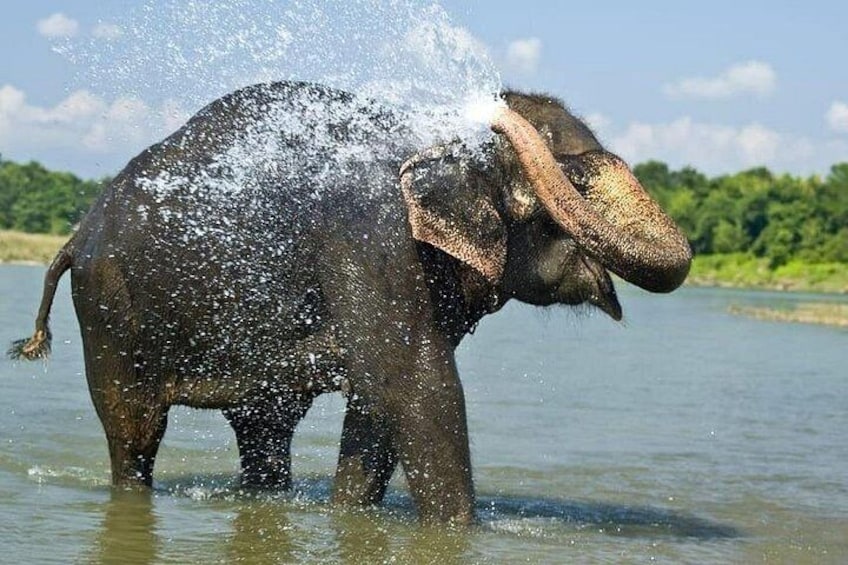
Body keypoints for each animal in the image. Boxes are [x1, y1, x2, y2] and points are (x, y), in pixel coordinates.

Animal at [10, 81, 691, 524]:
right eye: (574, 179)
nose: (500, 102)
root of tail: (73, 236)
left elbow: (378, 401)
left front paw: (351, 517)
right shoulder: (368, 237)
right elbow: (417, 386)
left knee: (265, 430)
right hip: (112, 312)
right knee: (135, 434)